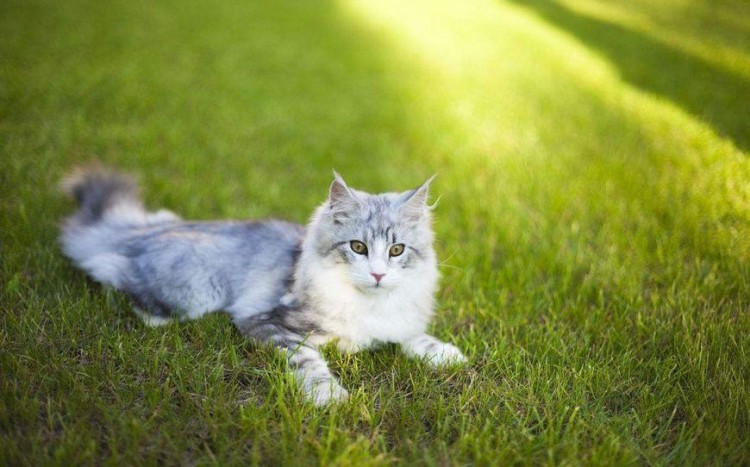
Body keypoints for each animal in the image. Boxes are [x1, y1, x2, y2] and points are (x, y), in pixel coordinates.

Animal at [61, 167, 468, 406]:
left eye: (397, 250)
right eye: (358, 247)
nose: (378, 275)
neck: (369, 304)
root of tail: (136, 234)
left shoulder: (399, 320)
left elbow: (413, 336)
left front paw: (447, 355)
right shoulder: (271, 322)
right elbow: (310, 363)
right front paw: (330, 397)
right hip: (194, 291)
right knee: (115, 278)